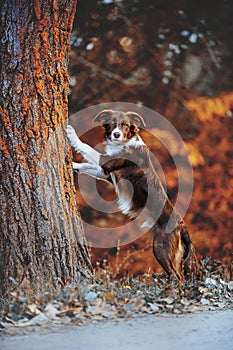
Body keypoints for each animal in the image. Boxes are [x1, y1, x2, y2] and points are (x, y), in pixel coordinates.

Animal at [67, 109, 198, 282]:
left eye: (125, 125)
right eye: (112, 123)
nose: (116, 134)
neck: (124, 143)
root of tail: (181, 226)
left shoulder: (106, 162)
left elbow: (87, 147)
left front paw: (71, 133)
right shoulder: (106, 174)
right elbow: (86, 165)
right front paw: (73, 165)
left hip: (161, 249)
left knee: (177, 277)